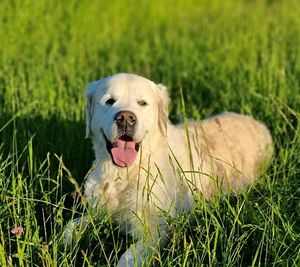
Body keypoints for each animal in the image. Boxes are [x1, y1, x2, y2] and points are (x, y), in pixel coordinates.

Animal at [64, 72, 274, 266]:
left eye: (142, 103)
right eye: (109, 101)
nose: (125, 118)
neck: (127, 173)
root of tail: (261, 125)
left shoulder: (155, 231)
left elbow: (127, 257)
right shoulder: (98, 211)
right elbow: (69, 228)